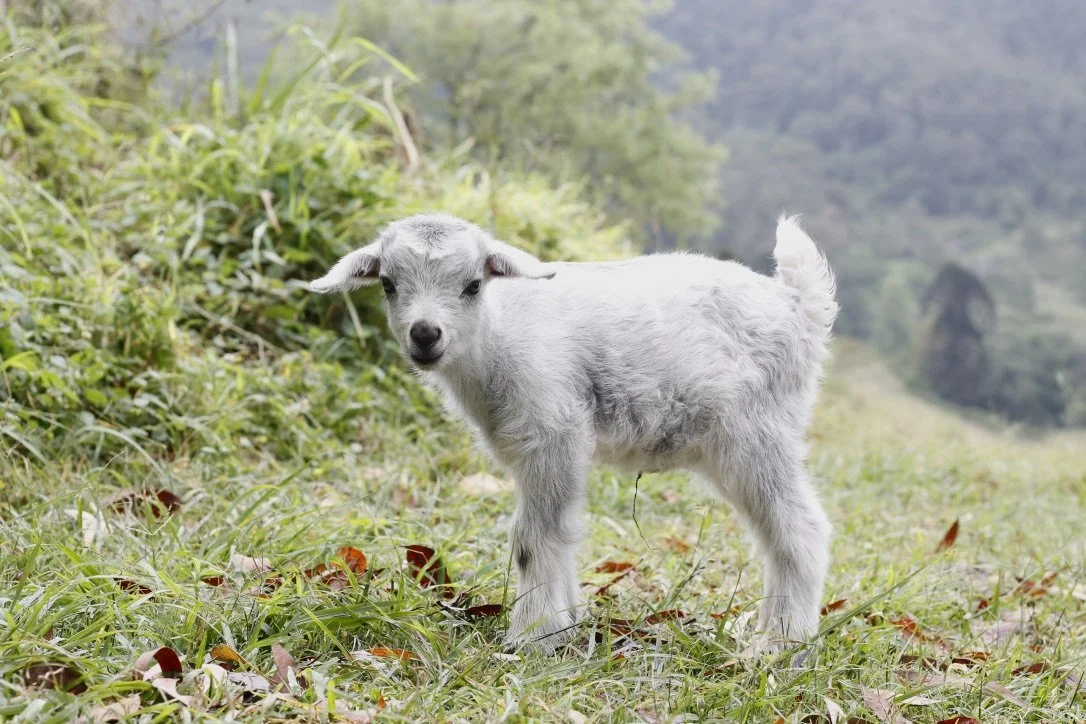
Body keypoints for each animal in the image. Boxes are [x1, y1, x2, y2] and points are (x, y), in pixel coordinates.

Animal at [309, 213, 838, 656]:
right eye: (388, 283)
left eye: (473, 285)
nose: (424, 334)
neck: (497, 337)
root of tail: (799, 306)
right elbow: (558, 531)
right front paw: (563, 624)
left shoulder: (552, 430)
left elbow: (532, 536)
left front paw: (531, 636)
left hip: (756, 432)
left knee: (800, 527)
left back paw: (781, 643)